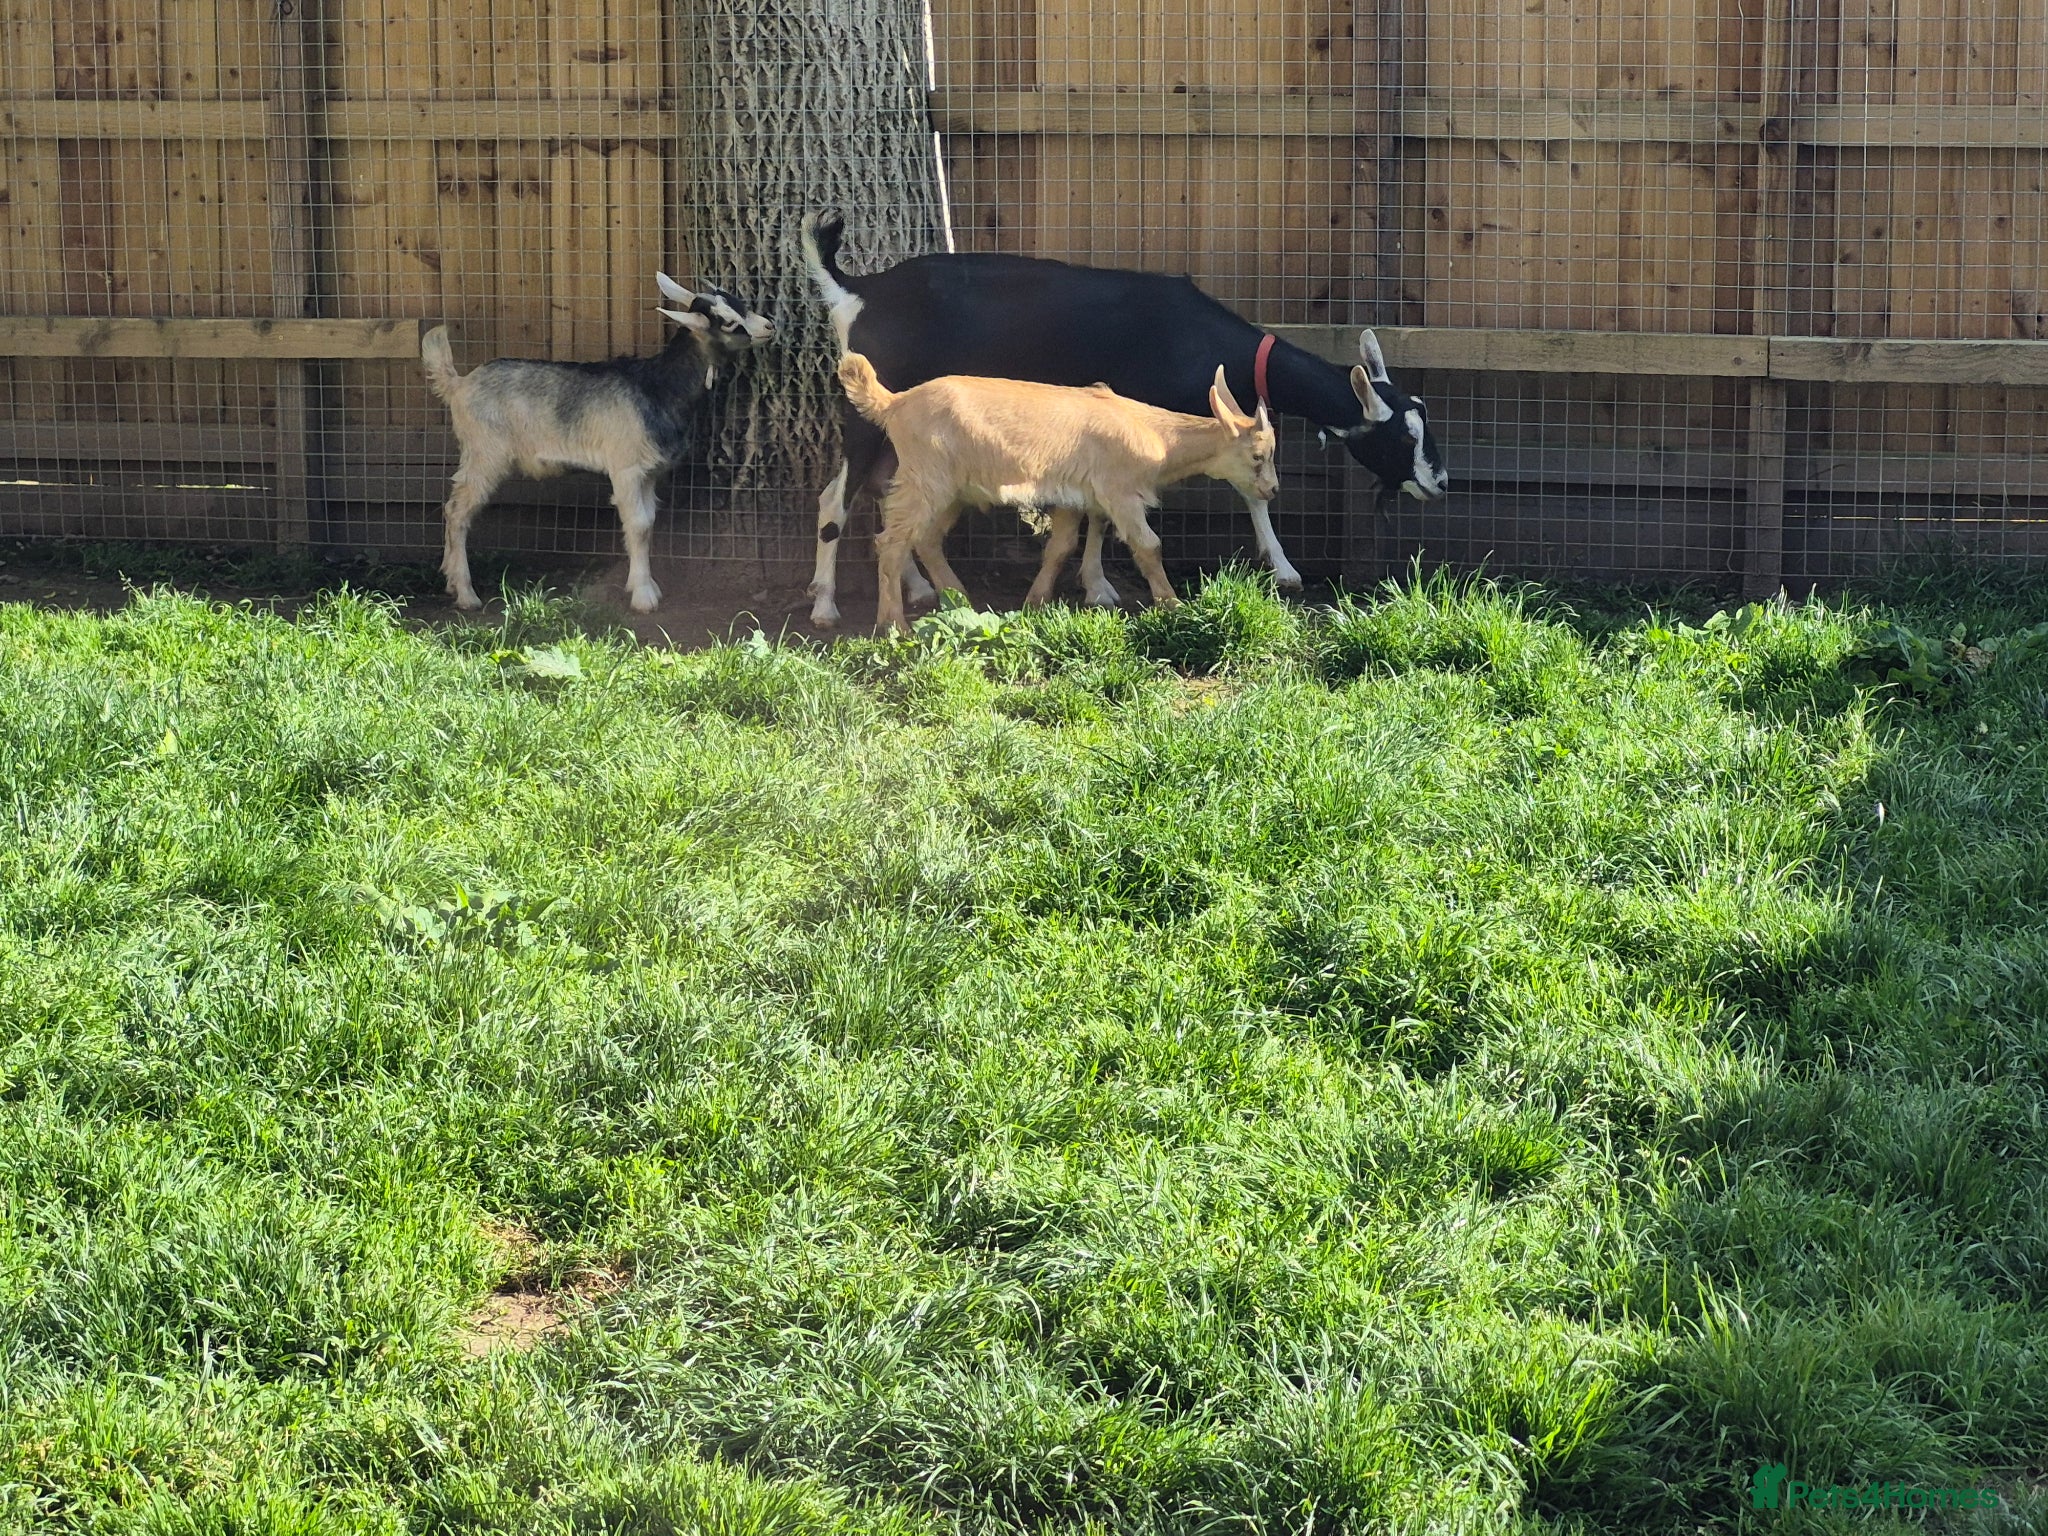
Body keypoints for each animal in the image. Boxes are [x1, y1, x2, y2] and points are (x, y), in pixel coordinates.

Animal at [421, 273, 774, 613]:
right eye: (727, 322)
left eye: (736, 300)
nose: (769, 326)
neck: (657, 385)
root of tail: (458, 385)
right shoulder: (627, 469)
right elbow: (638, 524)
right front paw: (644, 597)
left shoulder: (649, 472)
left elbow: (649, 522)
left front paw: (643, 584)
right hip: (486, 454)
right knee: (457, 511)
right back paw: (466, 594)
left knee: (452, 508)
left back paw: (450, 580)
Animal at [838, 352, 1278, 633]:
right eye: (1258, 455)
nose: (1272, 489)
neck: (1156, 435)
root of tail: (895, 404)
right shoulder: (1120, 493)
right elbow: (1148, 545)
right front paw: (1172, 605)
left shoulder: (1074, 497)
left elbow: (1060, 547)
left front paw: (1035, 602)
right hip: (926, 478)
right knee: (892, 542)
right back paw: (894, 624)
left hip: (953, 490)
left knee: (927, 539)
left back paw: (959, 598)